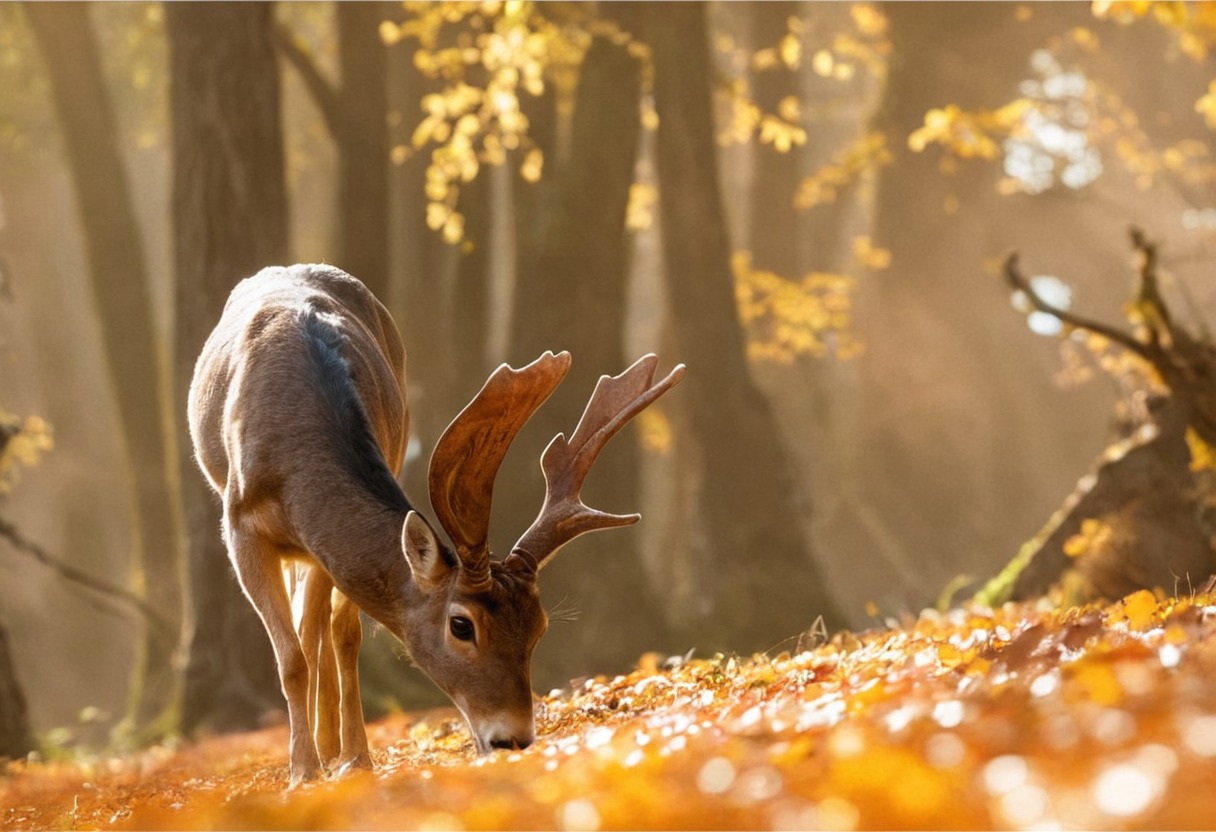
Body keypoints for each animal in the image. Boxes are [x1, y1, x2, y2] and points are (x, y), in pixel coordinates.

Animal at [188, 262, 685, 783]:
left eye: (541, 625)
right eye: (461, 625)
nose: (512, 740)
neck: (293, 461)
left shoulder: (321, 537)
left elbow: (331, 635)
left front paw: (349, 759)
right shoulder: (239, 523)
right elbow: (290, 660)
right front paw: (301, 773)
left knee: (329, 630)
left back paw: (340, 750)